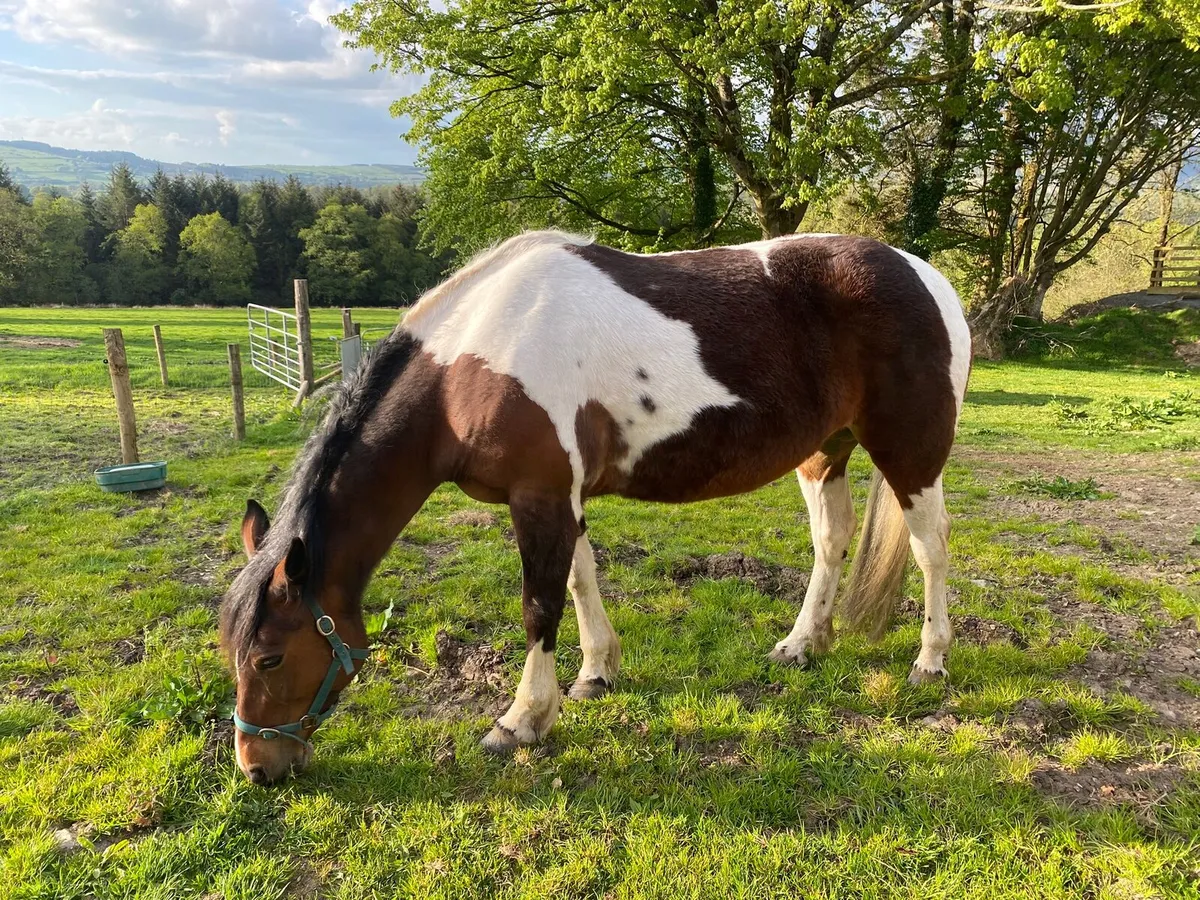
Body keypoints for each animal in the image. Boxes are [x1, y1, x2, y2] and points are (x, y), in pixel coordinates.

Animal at [219, 230, 971, 785]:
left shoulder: (541, 498)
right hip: (824, 452)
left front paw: (521, 720)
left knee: (932, 547)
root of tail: (925, 277)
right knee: (831, 540)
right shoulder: (562, 497)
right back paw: (802, 644)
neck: (471, 367)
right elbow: (581, 582)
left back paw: (930, 661)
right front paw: (595, 675)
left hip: (910, 454)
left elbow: (539, 606)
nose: (256, 767)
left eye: (270, 660)